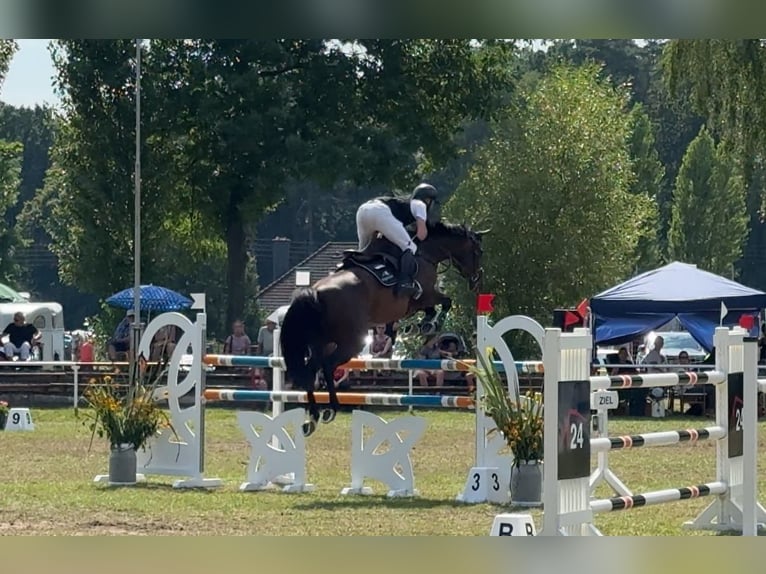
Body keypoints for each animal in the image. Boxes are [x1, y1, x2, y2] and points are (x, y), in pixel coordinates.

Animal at [280, 223, 486, 438]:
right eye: (478, 251)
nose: (476, 280)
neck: (425, 253)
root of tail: (315, 291)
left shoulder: (418, 302)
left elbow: (433, 308)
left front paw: (420, 325)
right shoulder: (426, 295)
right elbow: (446, 302)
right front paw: (430, 324)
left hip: (323, 342)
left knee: (312, 369)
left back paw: (312, 418)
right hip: (351, 342)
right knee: (327, 366)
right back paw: (331, 408)